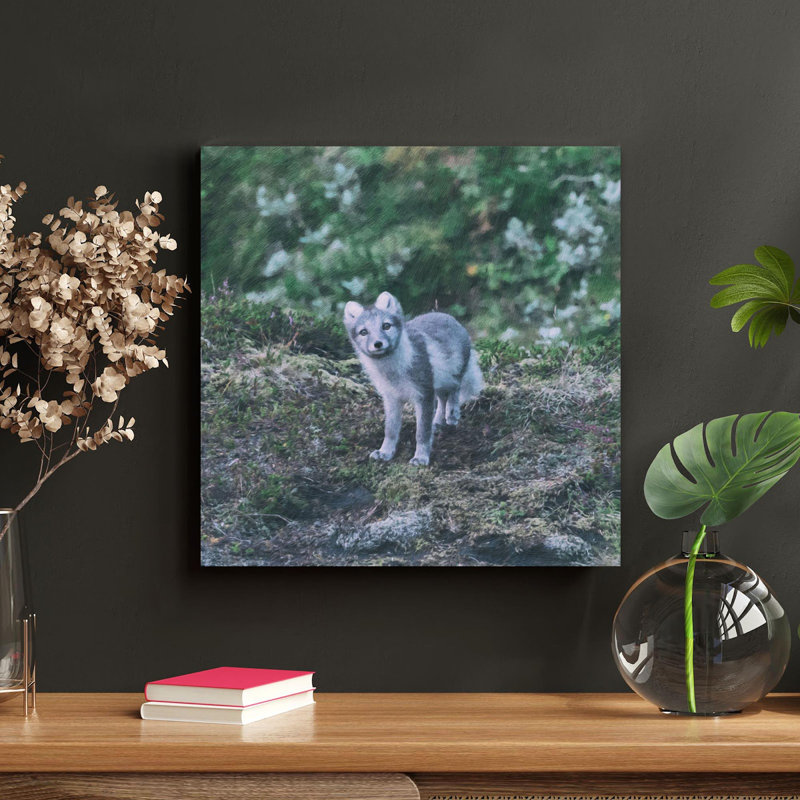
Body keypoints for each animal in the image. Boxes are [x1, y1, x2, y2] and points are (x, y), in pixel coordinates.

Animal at [344, 292, 483, 466]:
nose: (378, 344)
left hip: (452, 374)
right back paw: (437, 422)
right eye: (363, 332)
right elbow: (390, 430)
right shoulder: (391, 398)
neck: (393, 372)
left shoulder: (423, 394)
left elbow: (422, 433)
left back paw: (452, 414)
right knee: (442, 399)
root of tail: (447, 316)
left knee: (454, 390)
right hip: (437, 383)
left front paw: (421, 457)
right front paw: (385, 452)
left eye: (386, 326)